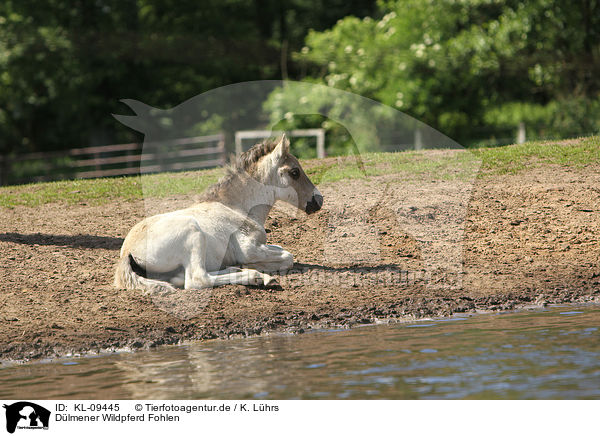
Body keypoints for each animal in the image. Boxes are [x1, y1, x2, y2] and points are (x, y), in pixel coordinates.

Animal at [116, 135, 324, 294]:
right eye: (294, 172)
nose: (318, 200)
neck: (236, 207)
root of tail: (127, 252)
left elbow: (281, 249)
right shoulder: (247, 249)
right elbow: (288, 257)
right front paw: (256, 267)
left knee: (183, 278)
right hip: (193, 232)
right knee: (197, 279)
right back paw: (256, 277)